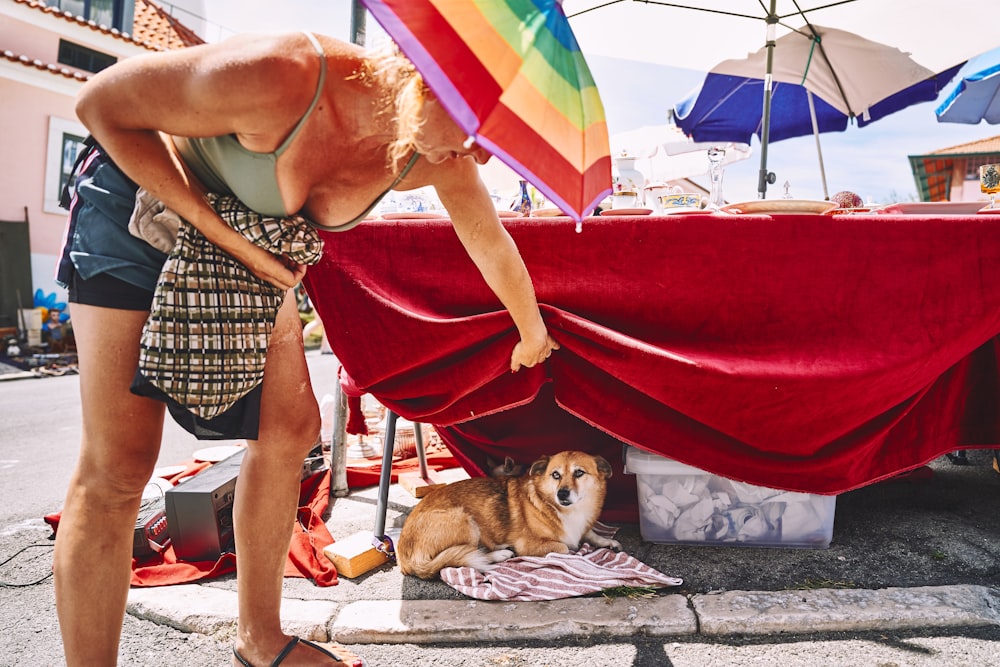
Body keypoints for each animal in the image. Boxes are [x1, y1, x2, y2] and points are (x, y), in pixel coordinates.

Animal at [396, 454, 616, 580]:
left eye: (579, 473)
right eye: (555, 475)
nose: (562, 494)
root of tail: (406, 558)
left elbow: (591, 533)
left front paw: (608, 542)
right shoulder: (529, 544)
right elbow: (564, 547)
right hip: (466, 520)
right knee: (466, 555)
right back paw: (500, 554)